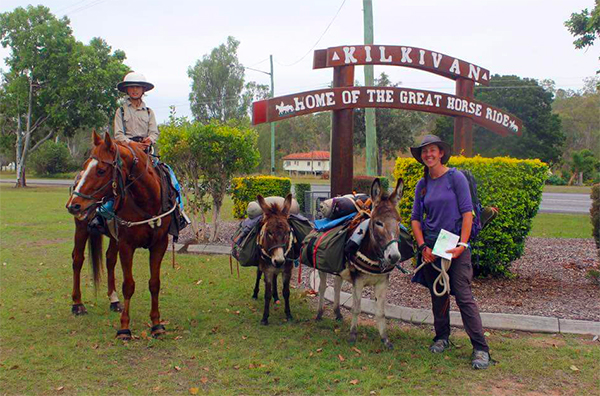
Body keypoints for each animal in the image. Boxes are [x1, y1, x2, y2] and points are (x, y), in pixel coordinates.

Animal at [66, 131, 173, 338]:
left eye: (101, 170)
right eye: (85, 166)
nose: (73, 204)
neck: (147, 202)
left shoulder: (159, 244)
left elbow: (154, 283)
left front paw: (156, 325)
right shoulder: (126, 245)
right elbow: (129, 285)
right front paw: (124, 328)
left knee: (109, 259)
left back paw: (114, 300)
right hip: (81, 227)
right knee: (78, 259)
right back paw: (78, 304)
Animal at [255, 193, 296, 324]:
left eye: (288, 232)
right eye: (269, 233)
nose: (279, 261)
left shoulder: (287, 270)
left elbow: (286, 292)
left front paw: (288, 314)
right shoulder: (267, 270)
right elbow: (267, 294)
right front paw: (264, 318)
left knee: (275, 277)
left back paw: (276, 296)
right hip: (261, 265)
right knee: (258, 274)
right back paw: (255, 293)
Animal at [314, 179, 404, 350]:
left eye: (398, 222)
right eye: (378, 223)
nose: (394, 256)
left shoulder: (382, 282)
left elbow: (381, 312)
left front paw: (385, 339)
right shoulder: (358, 281)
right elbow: (356, 308)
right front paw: (352, 336)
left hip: (339, 269)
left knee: (337, 286)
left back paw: (337, 313)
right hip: (323, 267)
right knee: (322, 288)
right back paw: (319, 314)